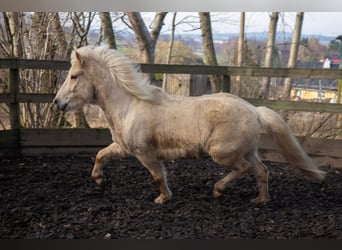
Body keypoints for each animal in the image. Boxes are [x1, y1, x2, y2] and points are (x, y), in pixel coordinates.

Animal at [52, 45, 324, 205]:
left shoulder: (144, 153)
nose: (58, 103)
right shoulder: (123, 147)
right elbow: (100, 155)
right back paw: (261, 200)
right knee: (261, 170)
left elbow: (158, 176)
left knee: (245, 169)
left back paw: (218, 190)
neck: (129, 104)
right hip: (248, 151)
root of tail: (254, 110)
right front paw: (99, 181)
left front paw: (163, 198)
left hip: (222, 154)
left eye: (74, 76)